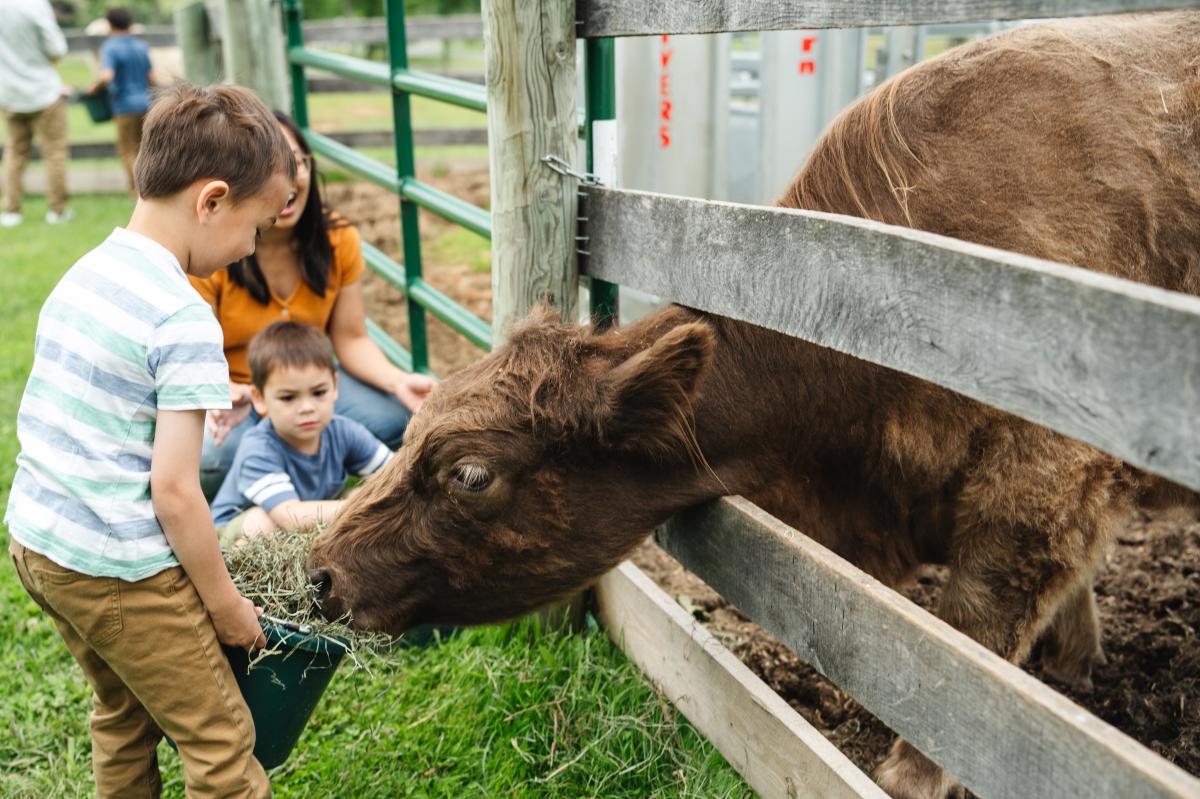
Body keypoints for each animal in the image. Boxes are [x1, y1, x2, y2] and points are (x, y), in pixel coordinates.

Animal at [308, 12, 1200, 798]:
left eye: (470, 473)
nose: (320, 571)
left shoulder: (1040, 476)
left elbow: (973, 636)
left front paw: (916, 771)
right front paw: (1073, 663)